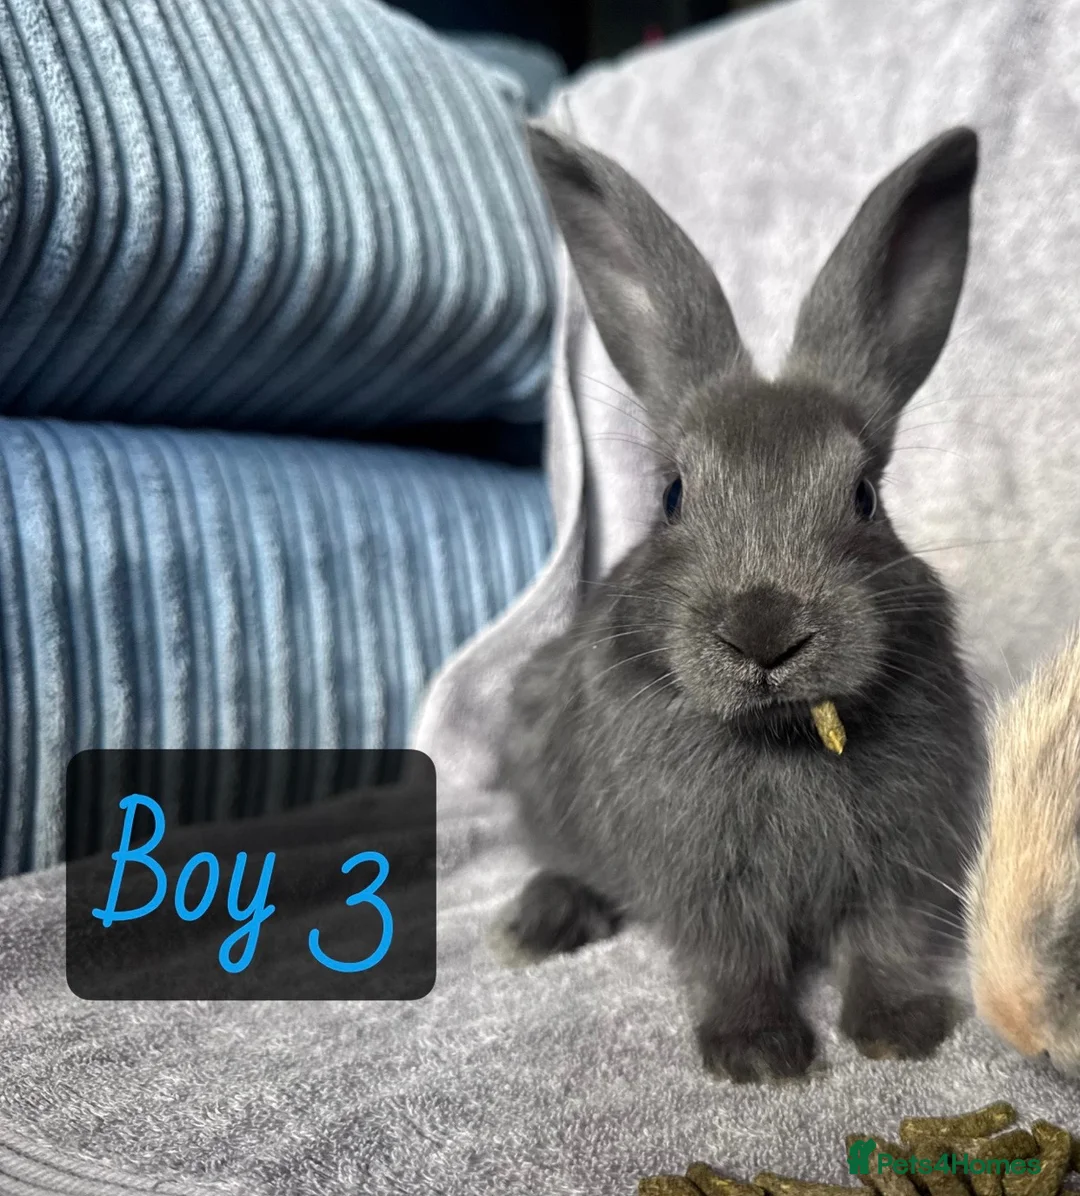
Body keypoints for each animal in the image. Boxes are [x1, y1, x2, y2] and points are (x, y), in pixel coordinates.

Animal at [492, 121, 990, 1085]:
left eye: (865, 497)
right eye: (673, 496)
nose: (765, 633)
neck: (785, 732)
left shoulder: (904, 865)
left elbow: (890, 942)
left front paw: (900, 1033)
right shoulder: (707, 883)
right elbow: (737, 959)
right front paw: (758, 1056)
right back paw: (537, 926)